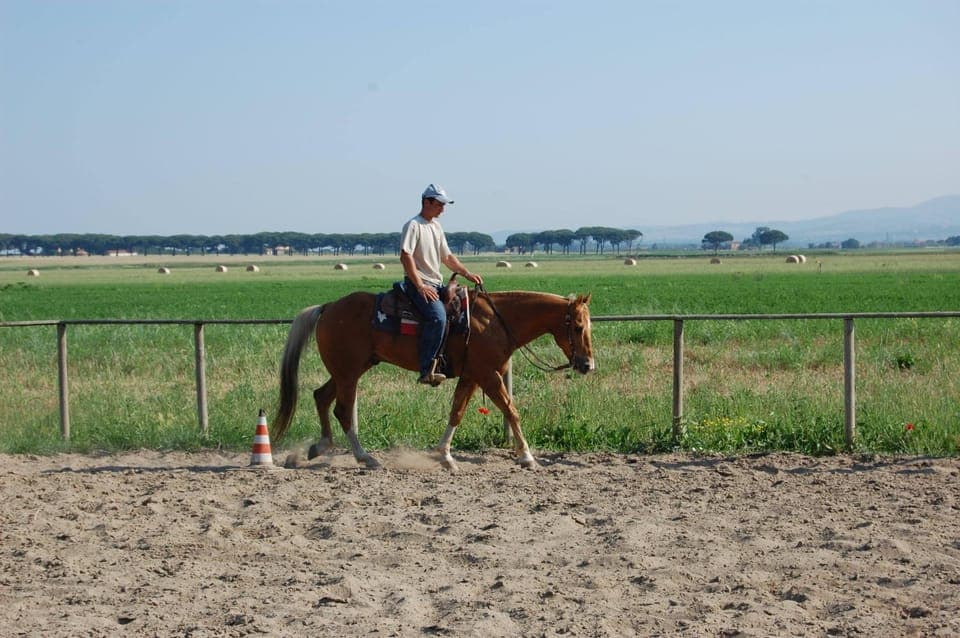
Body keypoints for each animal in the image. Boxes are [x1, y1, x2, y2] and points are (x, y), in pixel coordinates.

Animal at [272, 288, 595, 471]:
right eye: (578, 326)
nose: (587, 365)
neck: (494, 321)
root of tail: (328, 307)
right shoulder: (488, 375)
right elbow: (511, 410)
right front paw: (527, 456)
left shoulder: (472, 376)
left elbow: (457, 412)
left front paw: (444, 455)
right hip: (348, 372)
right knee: (341, 409)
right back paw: (365, 457)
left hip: (347, 370)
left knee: (321, 397)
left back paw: (321, 446)